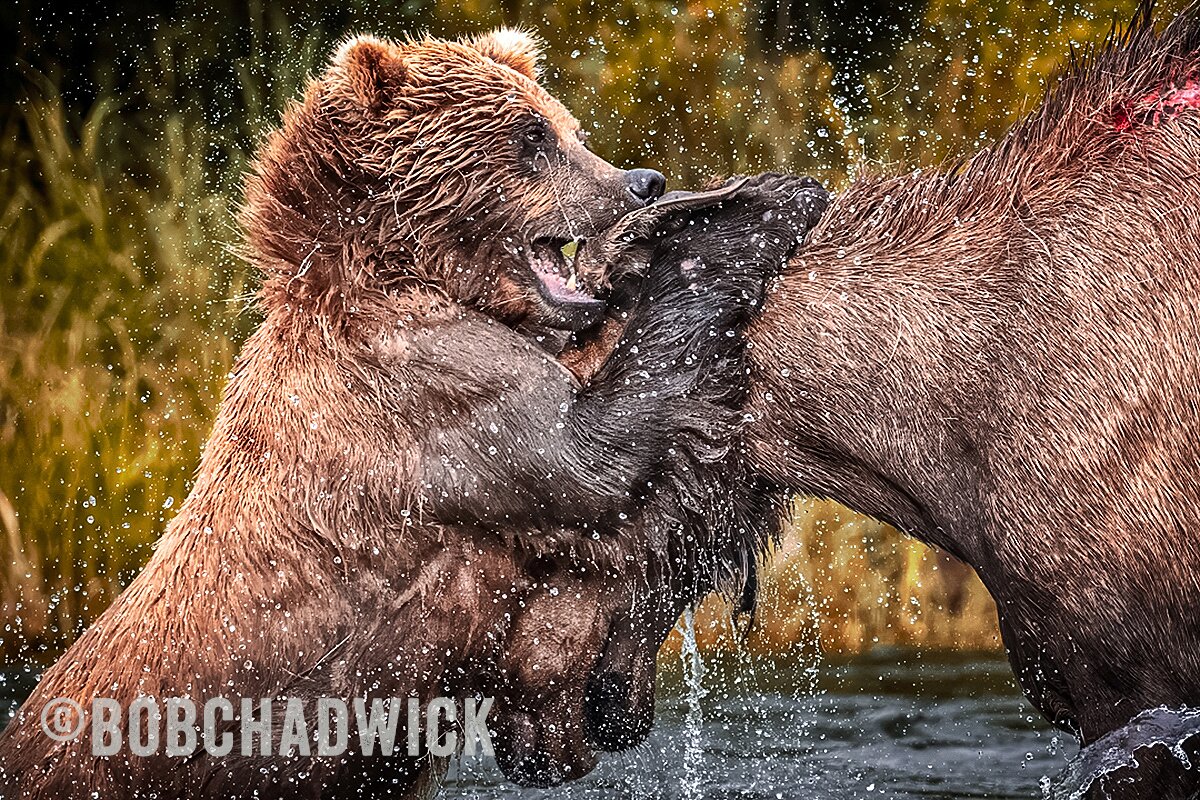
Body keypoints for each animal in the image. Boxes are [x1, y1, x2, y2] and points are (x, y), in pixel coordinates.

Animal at [0, 29, 825, 798]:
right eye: (533, 136)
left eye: (567, 125)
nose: (643, 182)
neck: (395, 272)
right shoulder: (426, 395)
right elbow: (587, 456)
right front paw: (753, 212)